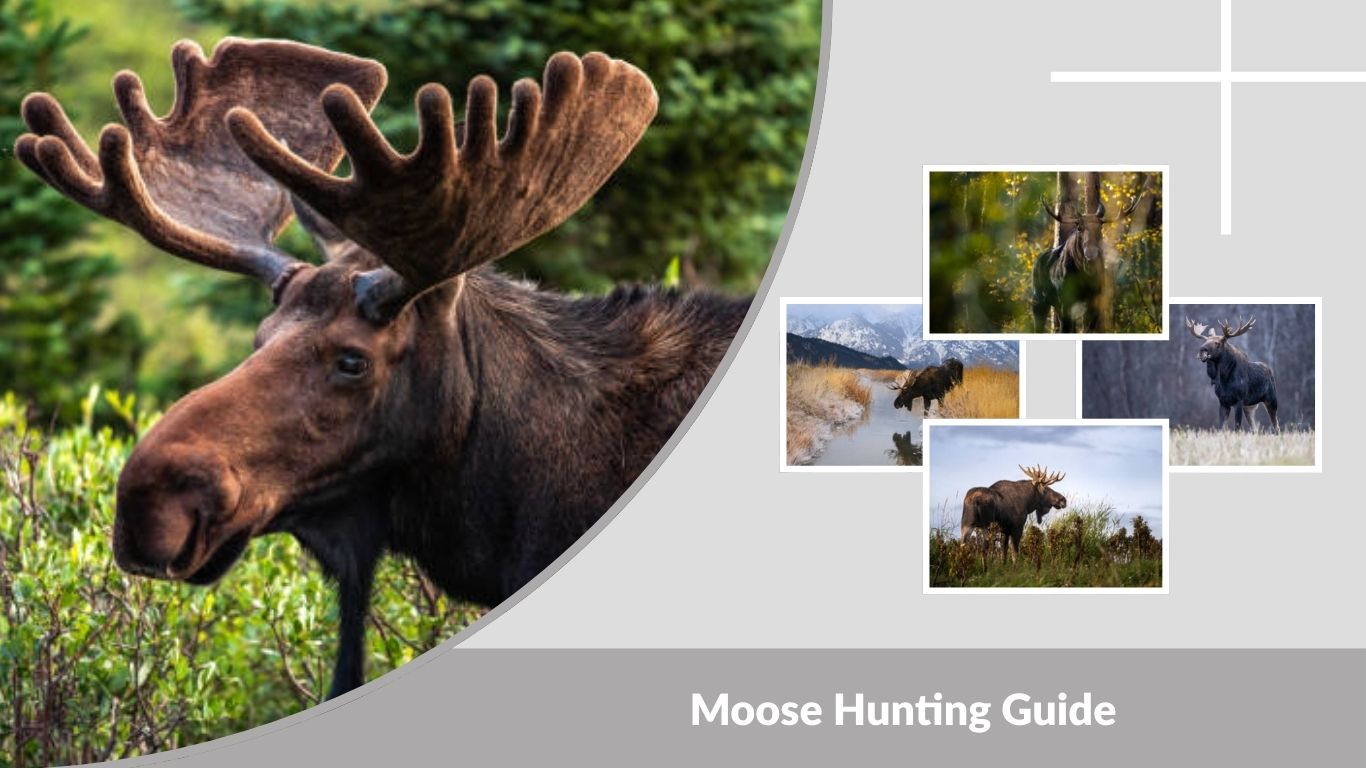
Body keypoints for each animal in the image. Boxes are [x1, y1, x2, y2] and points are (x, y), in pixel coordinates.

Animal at [1032, 196, 1138, 333]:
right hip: (1038, 300)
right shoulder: (1066, 301)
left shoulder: (1095, 300)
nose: (1091, 255)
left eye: (1100, 228)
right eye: (1079, 228)